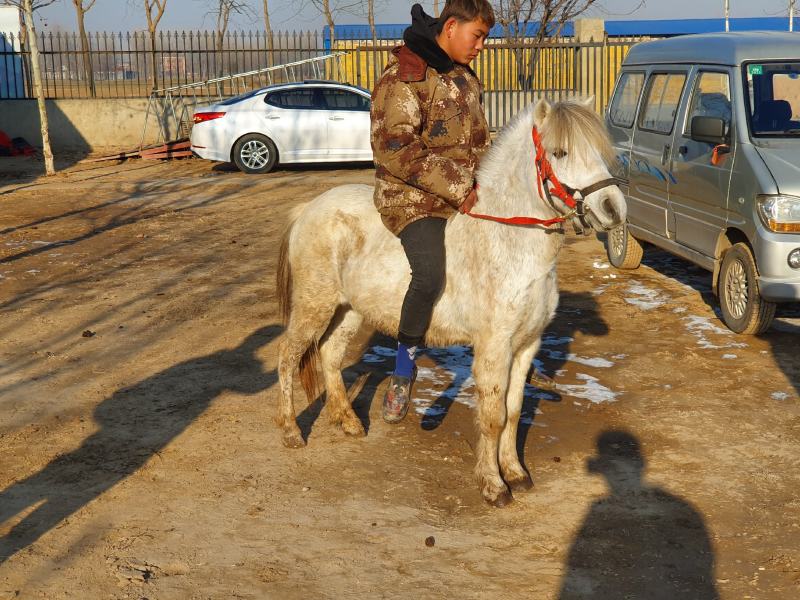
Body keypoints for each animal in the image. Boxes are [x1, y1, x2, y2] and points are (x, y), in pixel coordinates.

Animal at [275, 97, 626, 507]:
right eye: (560, 152)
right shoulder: (493, 347)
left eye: (599, 151)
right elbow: (492, 415)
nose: (613, 209)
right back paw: (291, 432)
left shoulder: (526, 345)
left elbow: (514, 410)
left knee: (330, 355)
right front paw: (493, 485)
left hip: (348, 309)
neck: (509, 241)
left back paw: (348, 421)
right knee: (288, 356)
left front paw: (515, 473)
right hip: (314, 305)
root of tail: (308, 209)